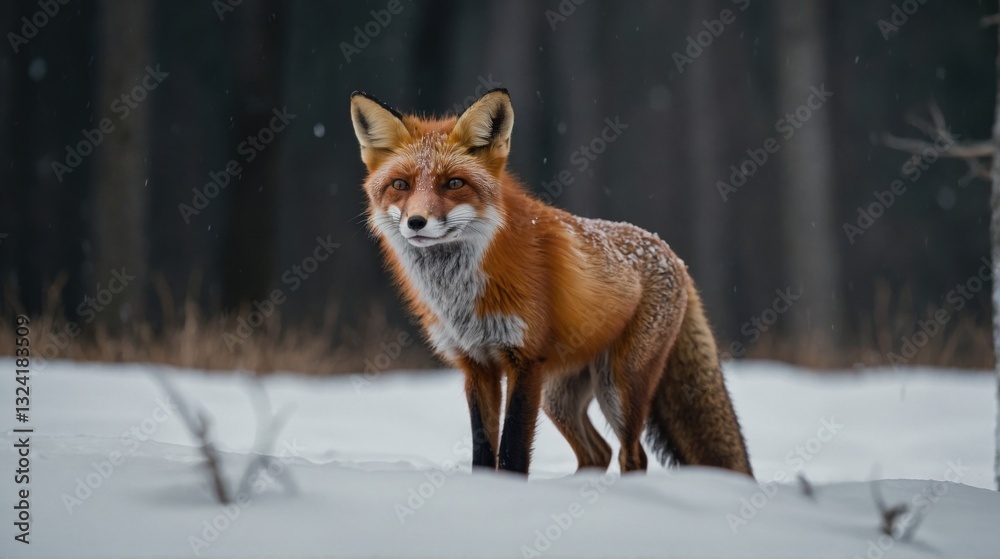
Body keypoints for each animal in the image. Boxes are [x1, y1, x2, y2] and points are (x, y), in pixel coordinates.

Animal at [350, 88, 753, 477]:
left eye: (454, 183)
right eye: (400, 184)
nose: (416, 222)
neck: (459, 294)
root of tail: (670, 252)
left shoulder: (525, 359)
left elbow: (512, 452)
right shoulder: (476, 364)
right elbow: (483, 451)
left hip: (617, 387)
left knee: (633, 455)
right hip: (559, 395)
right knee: (598, 452)